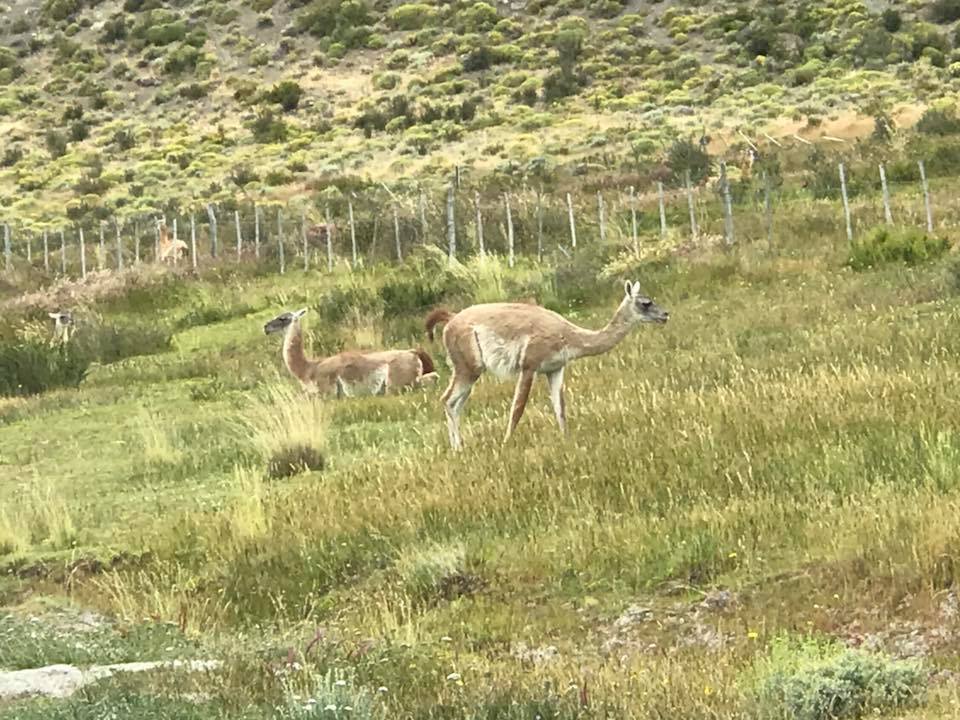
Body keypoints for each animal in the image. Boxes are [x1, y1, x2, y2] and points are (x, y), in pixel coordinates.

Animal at [263, 308, 439, 397]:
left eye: (283, 318)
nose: (266, 327)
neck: (307, 369)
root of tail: (414, 352)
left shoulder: (325, 392)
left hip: (397, 381)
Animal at [425, 281, 669, 450]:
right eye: (645, 303)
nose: (666, 314)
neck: (569, 336)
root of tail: (451, 320)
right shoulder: (530, 365)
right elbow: (517, 408)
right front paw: (506, 444)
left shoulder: (555, 368)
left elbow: (560, 408)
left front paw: (566, 441)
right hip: (468, 365)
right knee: (447, 399)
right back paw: (458, 448)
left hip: (467, 369)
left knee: (455, 402)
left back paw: (458, 448)